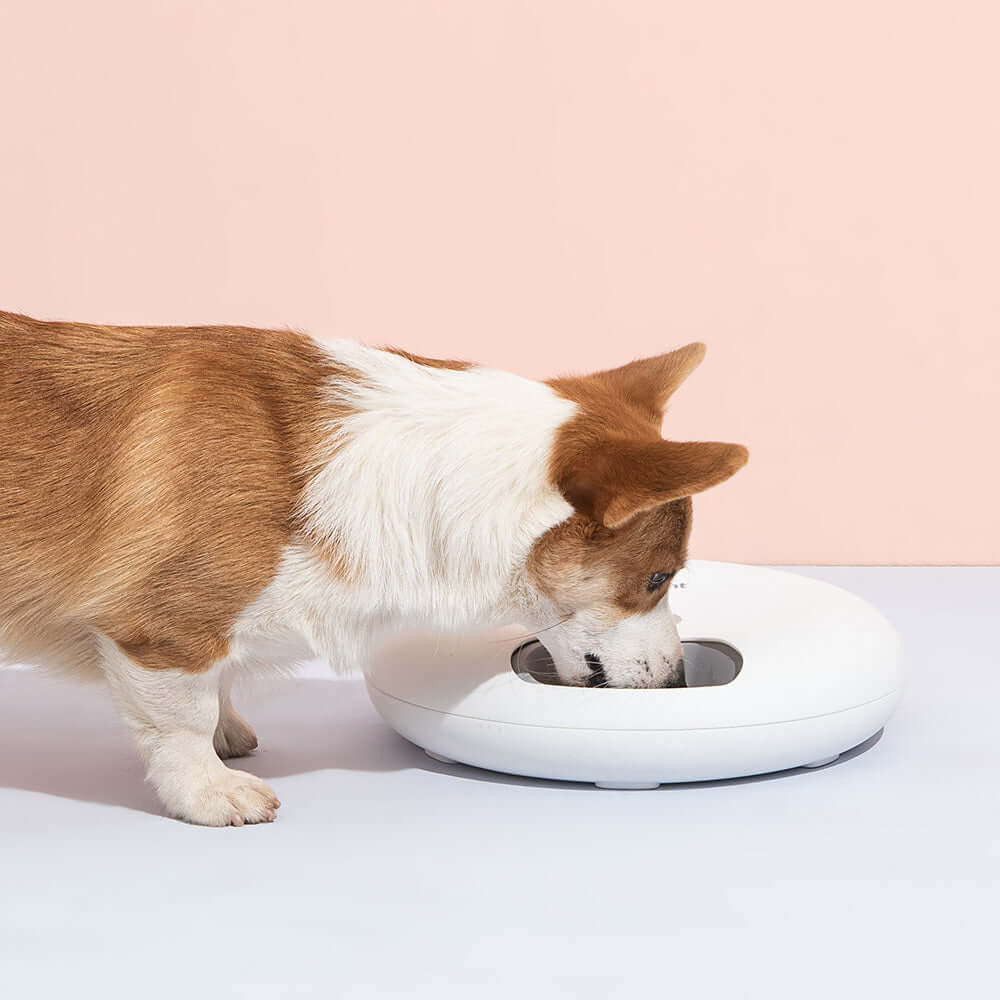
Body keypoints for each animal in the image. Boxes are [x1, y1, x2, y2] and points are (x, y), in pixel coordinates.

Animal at [0, 310, 748, 820]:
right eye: (658, 579)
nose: (680, 680)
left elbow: (217, 689)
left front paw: (226, 727)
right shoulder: (163, 631)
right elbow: (178, 722)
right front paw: (210, 790)